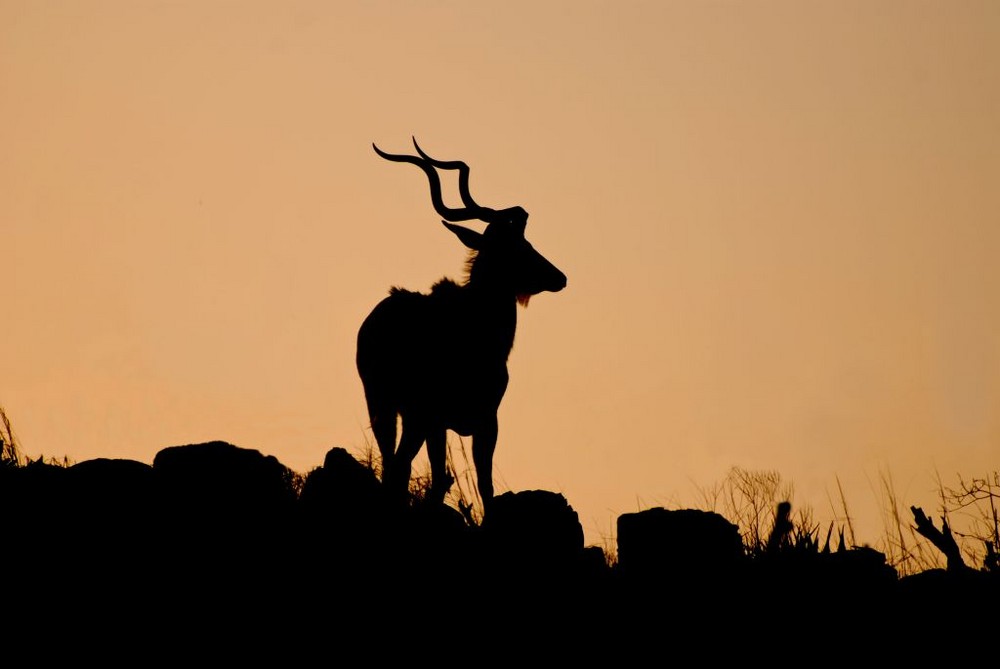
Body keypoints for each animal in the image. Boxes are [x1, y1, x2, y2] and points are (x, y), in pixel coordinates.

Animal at [360, 138, 568, 508]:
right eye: (519, 245)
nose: (559, 277)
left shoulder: (463, 421)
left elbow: (462, 482)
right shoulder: (462, 419)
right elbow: (472, 484)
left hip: (389, 409)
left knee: (393, 464)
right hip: (403, 411)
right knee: (397, 466)